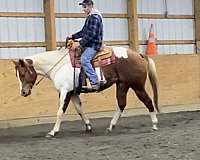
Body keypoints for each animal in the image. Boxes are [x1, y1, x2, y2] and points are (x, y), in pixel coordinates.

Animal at [12, 44, 159, 138]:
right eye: (17, 75)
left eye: (23, 74)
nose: (23, 92)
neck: (58, 65)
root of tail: (139, 55)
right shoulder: (73, 93)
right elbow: (79, 109)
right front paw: (88, 126)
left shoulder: (65, 91)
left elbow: (60, 111)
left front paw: (53, 132)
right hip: (122, 85)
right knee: (122, 104)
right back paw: (110, 126)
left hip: (136, 85)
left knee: (147, 101)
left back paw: (154, 125)